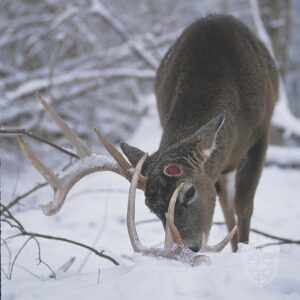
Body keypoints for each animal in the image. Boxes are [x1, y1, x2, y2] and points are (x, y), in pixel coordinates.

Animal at [18, 15, 276, 262]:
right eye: (151, 207)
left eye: (189, 192)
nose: (190, 248)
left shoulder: (261, 132)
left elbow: (244, 205)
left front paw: (244, 249)